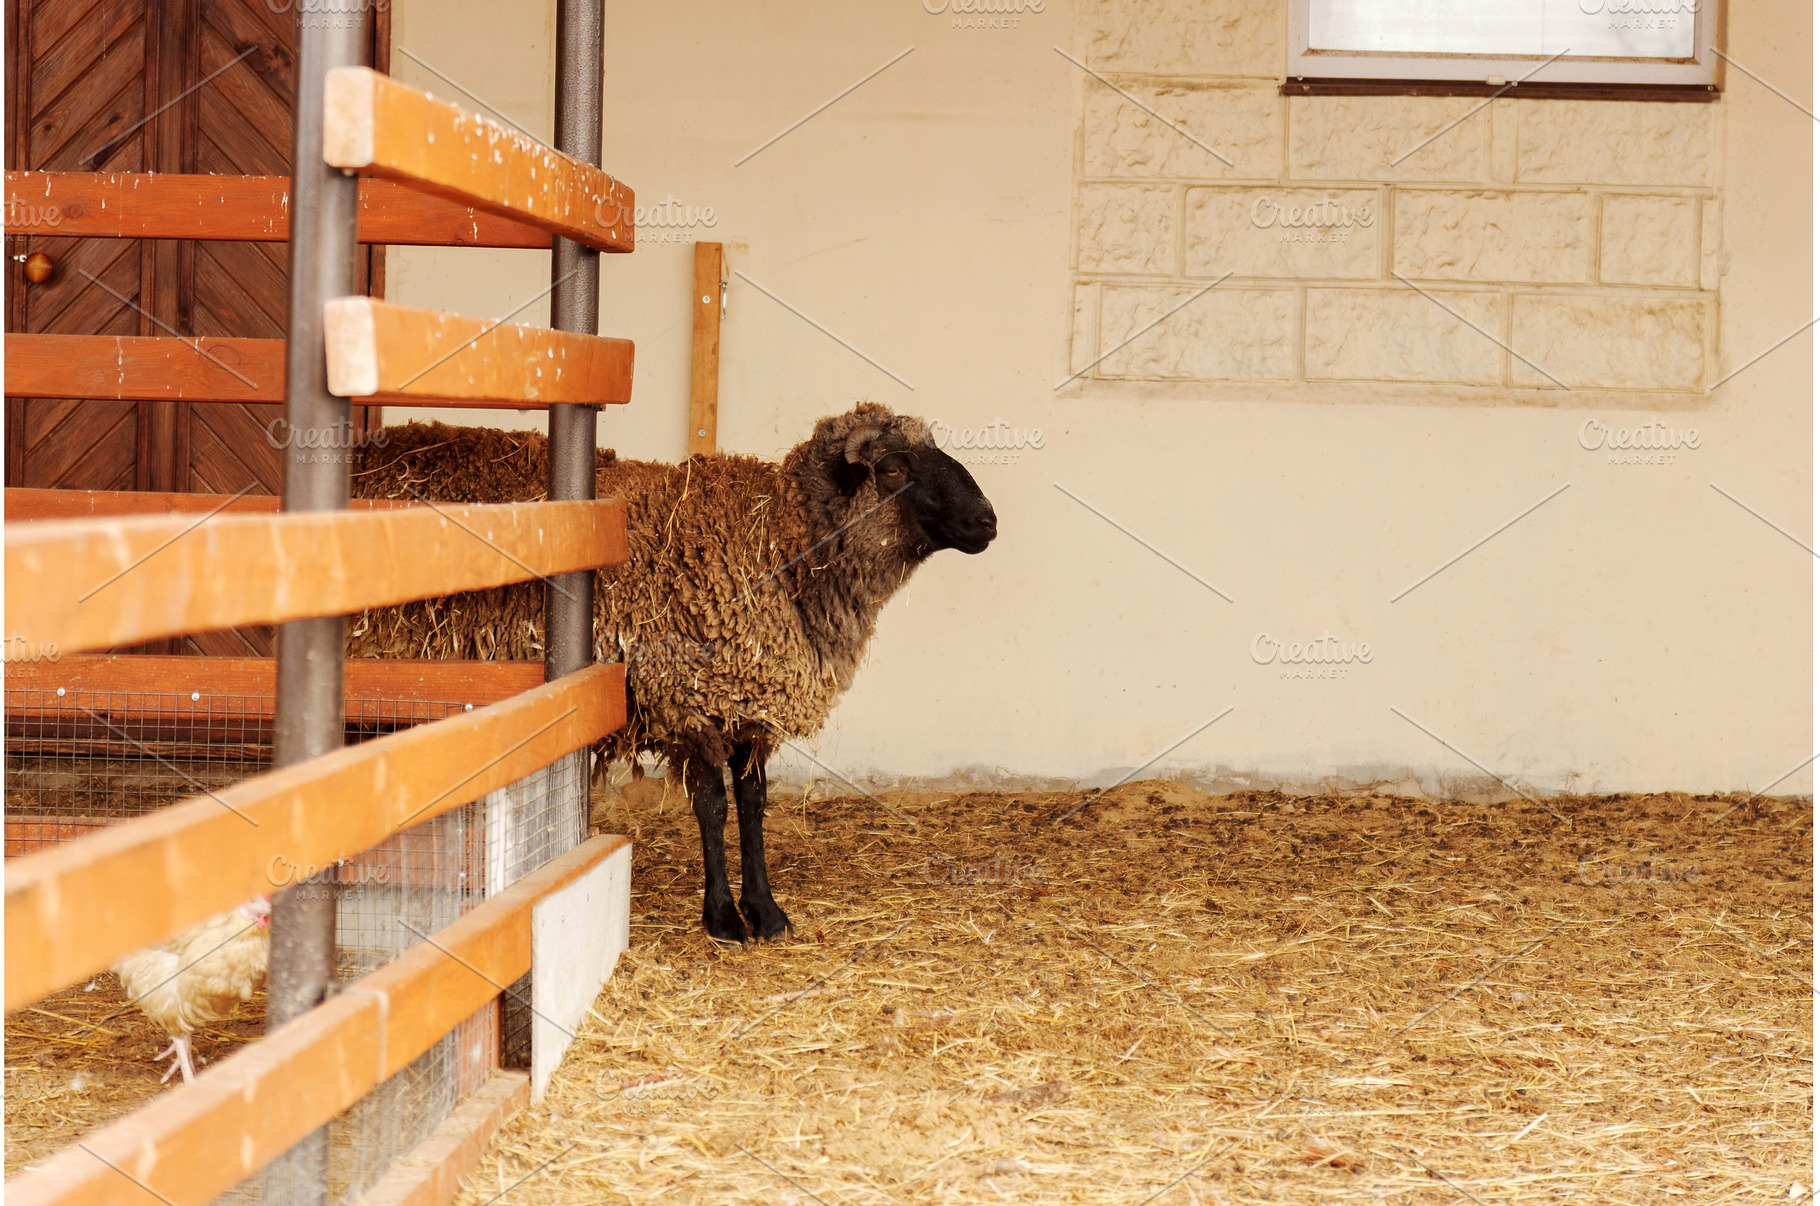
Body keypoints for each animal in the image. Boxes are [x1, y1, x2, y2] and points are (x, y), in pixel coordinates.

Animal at [348, 402, 998, 944]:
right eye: (892, 468)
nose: (988, 521)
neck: (775, 542)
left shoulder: (749, 704)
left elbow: (753, 802)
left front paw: (766, 911)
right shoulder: (687, 698)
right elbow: (712, 805)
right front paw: (723, 918)